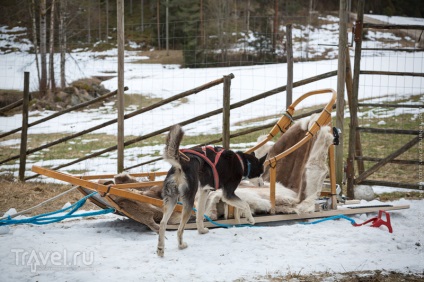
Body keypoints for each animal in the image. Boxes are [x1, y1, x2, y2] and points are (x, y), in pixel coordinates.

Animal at [157, 124, 264, 256]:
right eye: (261, 173)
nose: (263, 183)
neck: (242, 162)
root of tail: (181, 163)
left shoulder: (204, 191)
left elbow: (200, 214)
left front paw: (201, 231)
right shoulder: (228, 194)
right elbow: (245, 204)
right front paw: (250, 219)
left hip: (171, 199)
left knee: (162, 224)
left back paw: (160, 249)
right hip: (188, 201)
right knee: (179, 229)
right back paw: (181, 245)